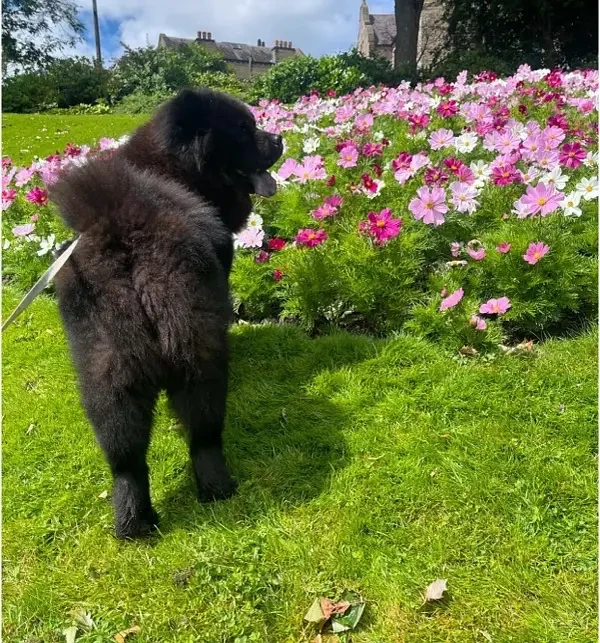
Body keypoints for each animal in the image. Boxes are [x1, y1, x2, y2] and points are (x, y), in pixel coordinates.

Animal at [49, 89, 284, 540]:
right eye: (244, 129)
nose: (279, 138)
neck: (176, 173)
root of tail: (125, 242)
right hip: (197, 350)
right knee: (204, 434)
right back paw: (217, 487)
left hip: (105, 370)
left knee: (126, 460)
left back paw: (134, 522)